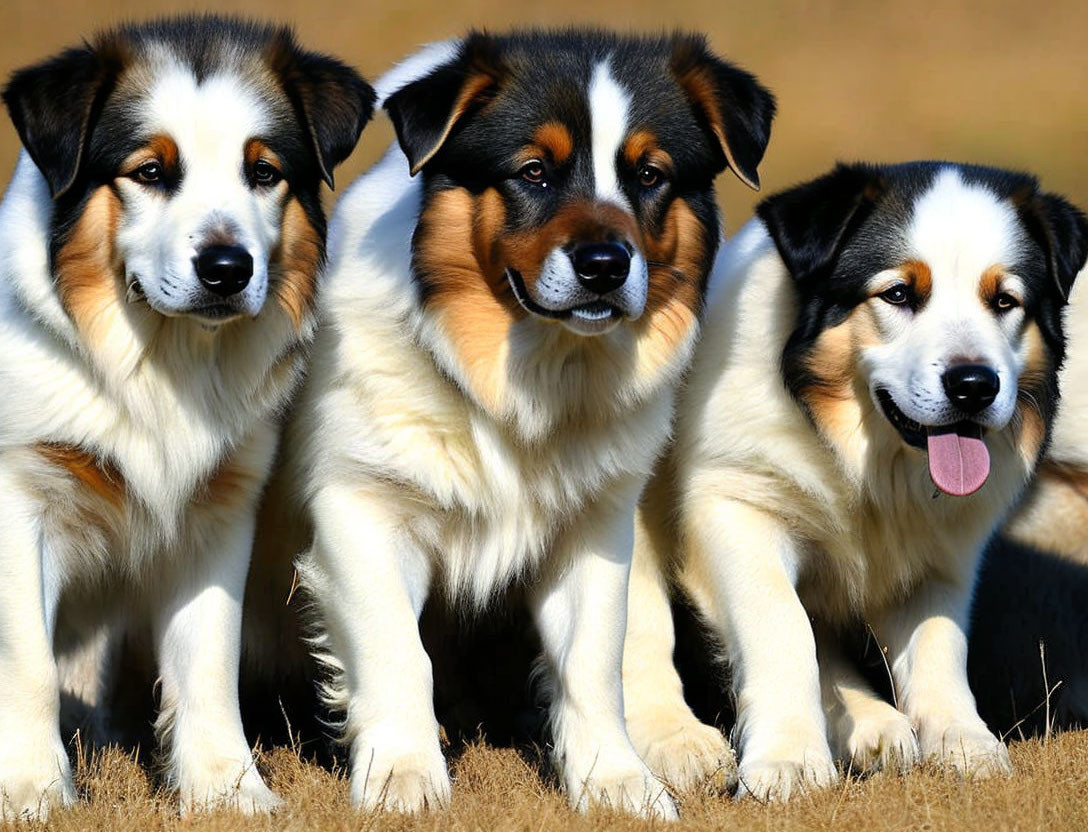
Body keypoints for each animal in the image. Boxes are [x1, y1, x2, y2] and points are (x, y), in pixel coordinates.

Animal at [0, 17, 372, 817]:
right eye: (149, 172)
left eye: (263, 172)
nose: (228, 270)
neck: (161, 365)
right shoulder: (20, 496)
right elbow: (28, 661)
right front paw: (33, 791)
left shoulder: (219, 507)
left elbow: (209, 660)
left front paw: (228, 790)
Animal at [249, 27, 774, 817]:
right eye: (533, 172)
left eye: (651, 175)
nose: (604, 265)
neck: (521, 378)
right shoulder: (361, 504)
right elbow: (396, 651)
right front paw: (404, 774)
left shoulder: (595, 524)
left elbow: (594, 658)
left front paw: (614, 780)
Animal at [622, 160, 1088, 804]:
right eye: (898, 294)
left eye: (1004, 301)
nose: (974, 386)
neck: (863, 458)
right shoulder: (738, 506)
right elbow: (784, 629)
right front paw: (788, 761)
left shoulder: (944, 552)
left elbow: (940, 643)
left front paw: (962, 741)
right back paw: (680, 742)